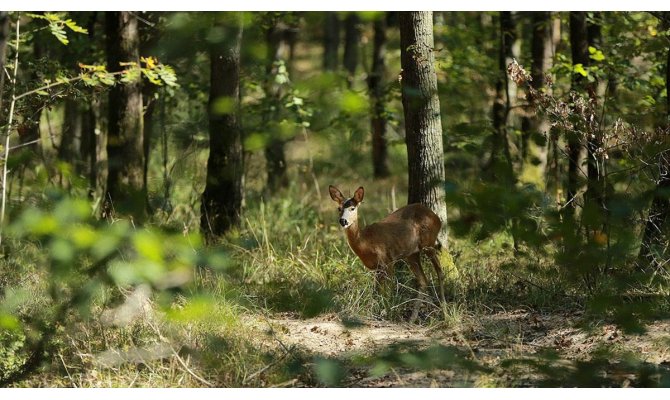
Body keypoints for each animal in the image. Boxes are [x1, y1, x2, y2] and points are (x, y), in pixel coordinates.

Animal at [330, 185, 446, 322]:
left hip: (428, 243)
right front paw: (375, 312)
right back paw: (412, 318)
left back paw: (444, 311)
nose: (343, 221)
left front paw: (388, 313)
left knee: (440, 271)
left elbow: (388, 289)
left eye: (352, 208)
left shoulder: (387, 260)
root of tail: (437, 218)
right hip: (411, 254)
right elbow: (376, 291)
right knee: (423, 280)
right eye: (339, 208)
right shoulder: (377, 268)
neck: (365, 242)